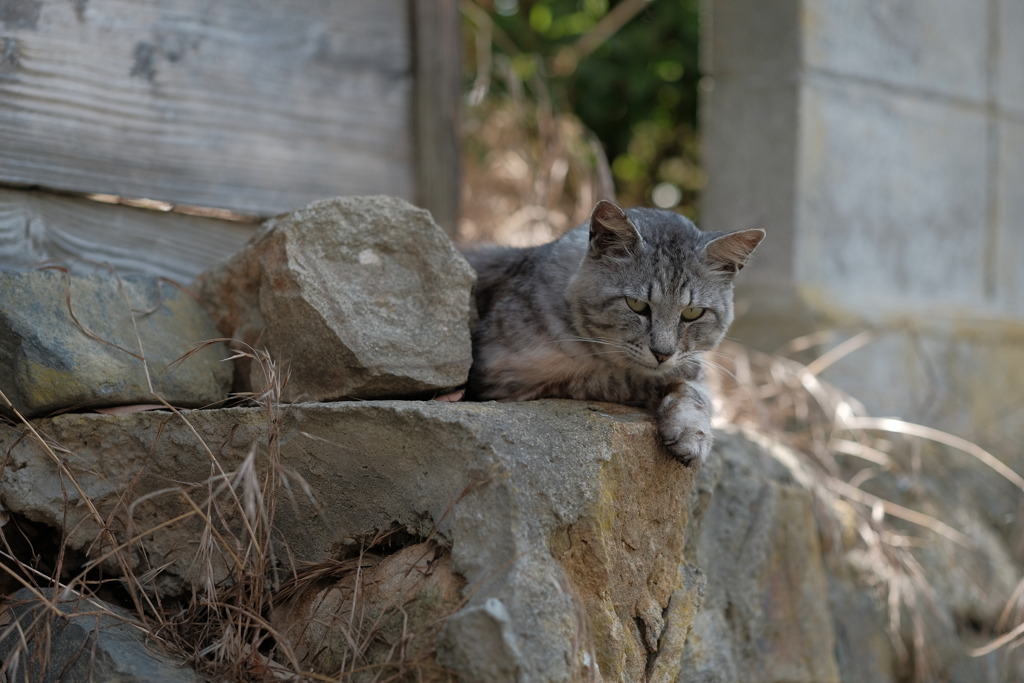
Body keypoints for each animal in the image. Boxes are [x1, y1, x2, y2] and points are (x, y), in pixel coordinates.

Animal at [462, 197, 761, 464]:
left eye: (692, 313)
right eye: (636, 305)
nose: (662, 354)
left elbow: (695, 393)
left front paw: (692, 431)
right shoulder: (503, 370)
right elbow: (618, 377)